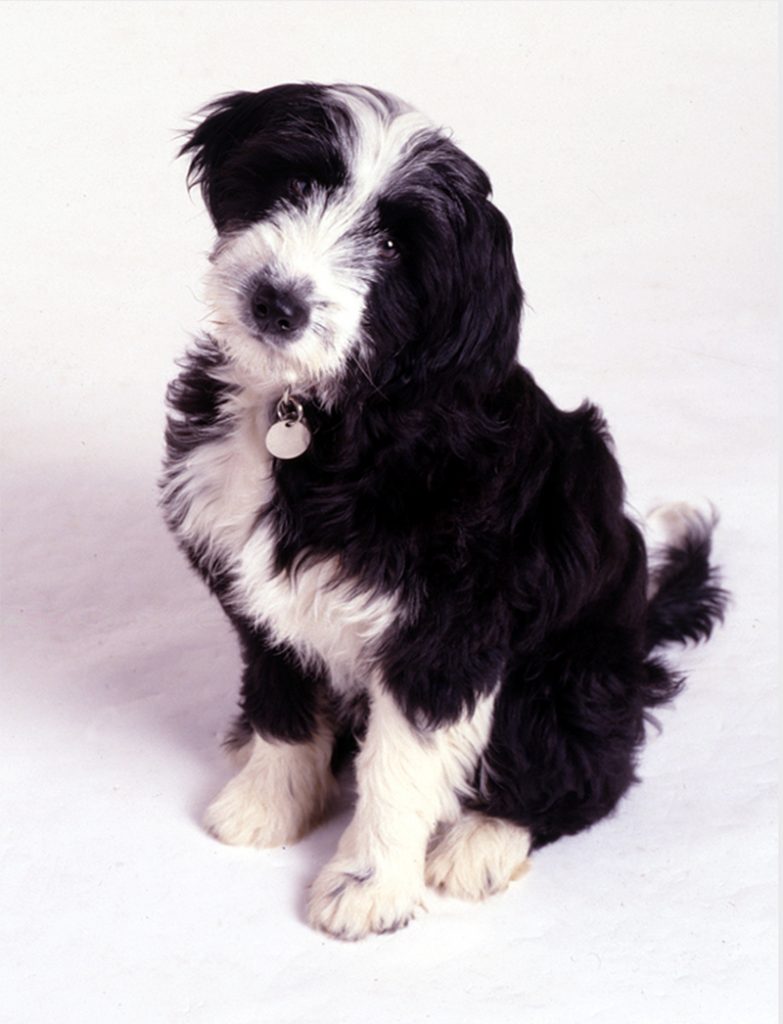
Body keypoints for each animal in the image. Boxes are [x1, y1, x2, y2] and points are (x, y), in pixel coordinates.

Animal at [160, 83, 728, 937]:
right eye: (295, 183)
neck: (324, 415)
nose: (276, 303)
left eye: (396, 247)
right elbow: (282, 696)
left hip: (562, 682)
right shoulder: (258, 595)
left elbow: (401, 762)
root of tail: (638, 638)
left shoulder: (448, 632)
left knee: (585, 776)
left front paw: (367, 885)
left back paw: (482, 841)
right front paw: (269, 803)